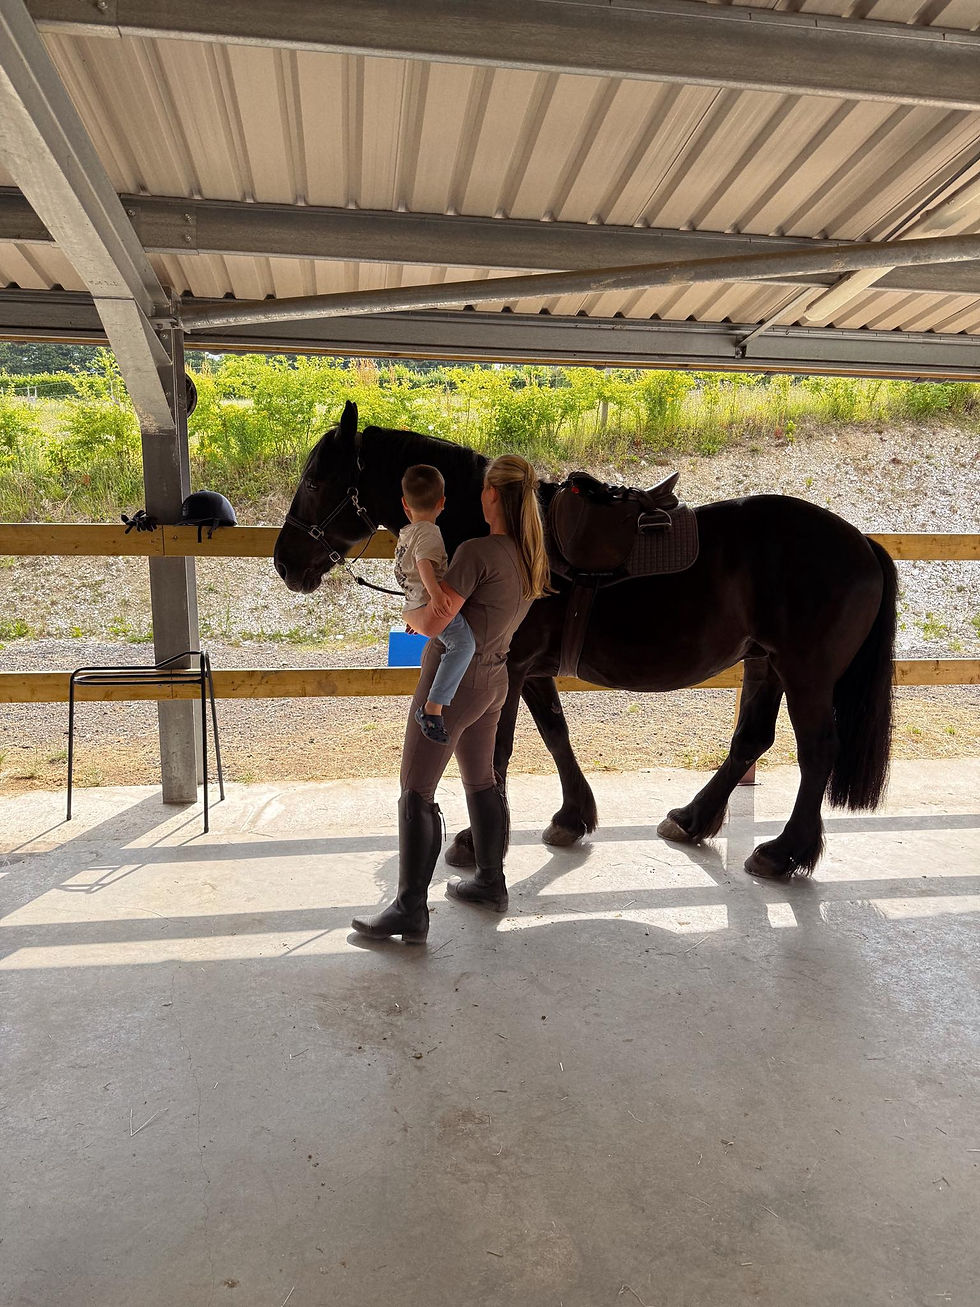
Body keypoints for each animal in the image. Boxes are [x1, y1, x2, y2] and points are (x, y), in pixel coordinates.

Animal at [274, 400, 897, 878]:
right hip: (764, 663)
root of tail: (862, 544)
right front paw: (572, 817)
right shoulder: (530, 671)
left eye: (314, 480)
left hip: (805, 673)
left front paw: (477, 841)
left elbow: (497, 748)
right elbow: (554, 733)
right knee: (751, 740)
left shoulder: (506, 667)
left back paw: (785, 853)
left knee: (817, 751)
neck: (499, 536)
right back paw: (693, 820)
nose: (285, 563)